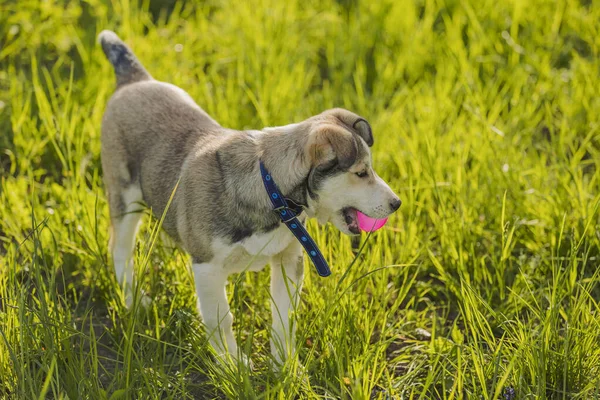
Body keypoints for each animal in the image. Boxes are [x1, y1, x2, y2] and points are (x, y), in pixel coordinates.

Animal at [97, 30, 398, 366]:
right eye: (360, 173)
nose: (396, 204)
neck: (272, 193)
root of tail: (134, 80)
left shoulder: (289, 259)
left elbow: (283, 316)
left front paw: (285, 366)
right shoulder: (207, 267)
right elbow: (221, 319)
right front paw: (233, 366)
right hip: (124, 195)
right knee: (120, 249)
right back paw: (133, 299)